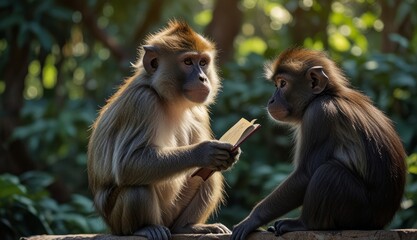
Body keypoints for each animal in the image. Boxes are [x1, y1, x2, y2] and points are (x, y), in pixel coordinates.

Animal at [88, 21, 240, 240]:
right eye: (187, 62)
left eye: (203, 62)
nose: (202, 78)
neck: (168, 99)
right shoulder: (143, 101)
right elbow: (127, 162)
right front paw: (205, 152)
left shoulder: (199, 111)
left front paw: (229, 156)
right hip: (121, 221)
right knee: (137, 187)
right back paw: (144, 228)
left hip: (173, 212)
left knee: (210, 177)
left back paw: (186, 227)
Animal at [229, 47, 404, 239]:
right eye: (276, 85)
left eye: (283, 84)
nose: (271, 100)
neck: (328, 95)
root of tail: (382, 219)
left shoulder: (318, 115)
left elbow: (305, 174)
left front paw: (252, 219)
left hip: (361, 213)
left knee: (328, 173)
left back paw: (303, 224)